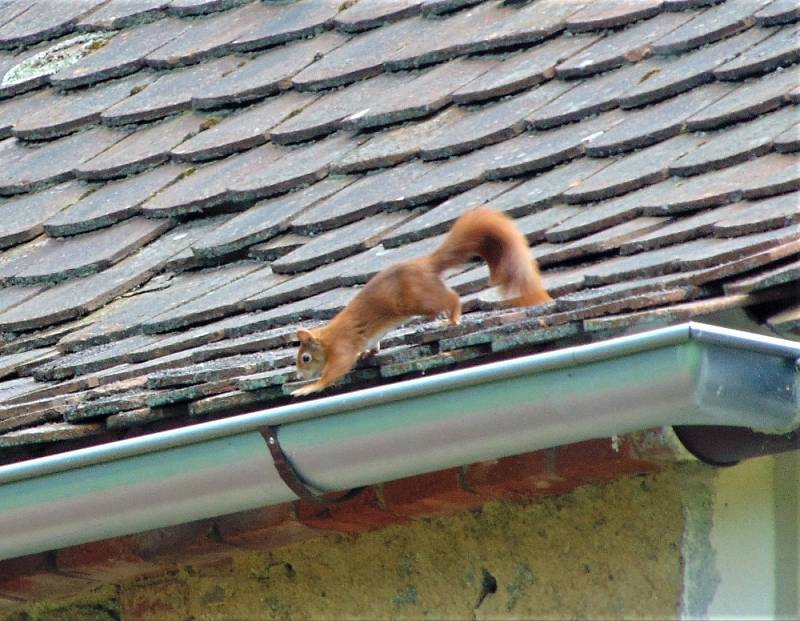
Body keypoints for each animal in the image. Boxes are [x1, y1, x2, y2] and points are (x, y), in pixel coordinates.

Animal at [292, 206, 552, 394]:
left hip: (421, 300)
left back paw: (451, 319)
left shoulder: (342, 347)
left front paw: (309, 387)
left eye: (305, 358)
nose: (299, 375)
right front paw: (368, 353)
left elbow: (336, 370)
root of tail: (425, 265)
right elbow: (371, 346)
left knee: (451, 298)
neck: (327, 339)